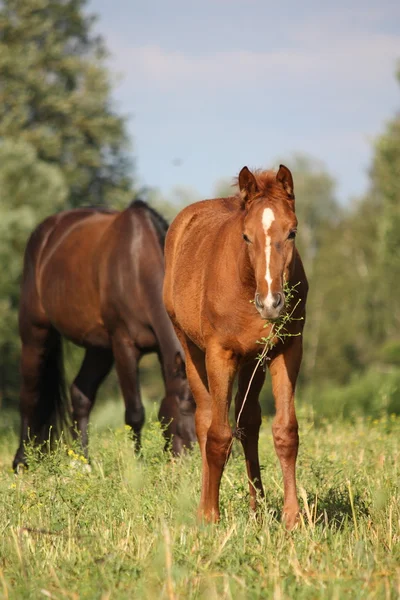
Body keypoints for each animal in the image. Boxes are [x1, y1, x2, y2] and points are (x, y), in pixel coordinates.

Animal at [14, 198, 197, 468]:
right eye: (184, 407)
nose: (194, 458)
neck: (137, 265)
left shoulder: (161, 353)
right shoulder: (123, 345)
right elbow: (135, 412)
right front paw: (137, 464)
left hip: (99, 349)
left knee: (80, 395)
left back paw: (82, 460)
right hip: (34, 335)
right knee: (30, 397)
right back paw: (21, 461)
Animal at [164, 166, 308, 528]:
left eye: (292, 232)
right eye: (246, 236)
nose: (271, 303)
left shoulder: (286, 350)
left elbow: (285, 431)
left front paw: (292, 518)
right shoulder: (221, 354)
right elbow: (217, 435)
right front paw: (210, 516)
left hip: (253, 361)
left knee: (249, 422)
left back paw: (258, 509)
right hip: (192, 349)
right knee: (204, 422)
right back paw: (205, 506)